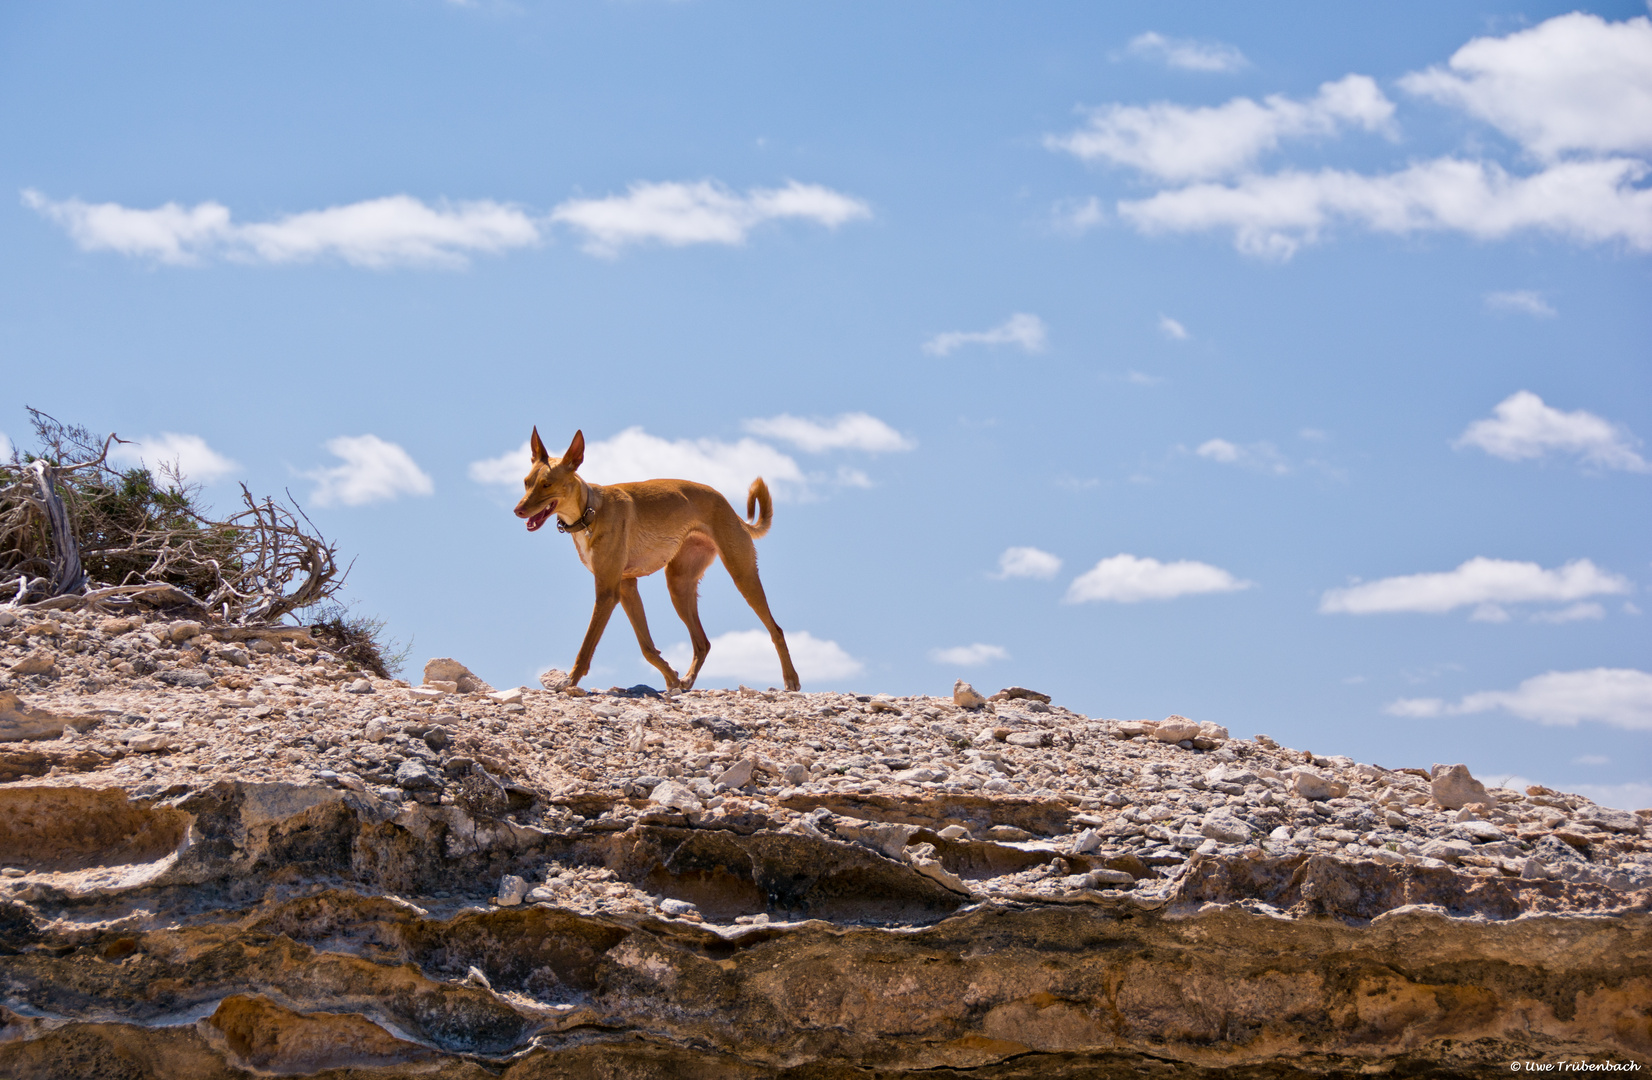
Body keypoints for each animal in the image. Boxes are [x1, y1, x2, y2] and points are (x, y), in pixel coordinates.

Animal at [515, 426, 799, 696]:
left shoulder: (607, 592)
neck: (590, 511)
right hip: (679, 585)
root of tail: (729, 507)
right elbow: (647, 646)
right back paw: (687, 680)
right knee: (702, 643)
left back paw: (791, 680)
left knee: (776, 630)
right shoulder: (626, 587)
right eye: (527, 482)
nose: (518, 510)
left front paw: (570, 681)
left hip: (743, 575)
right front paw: (672, 678)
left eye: (547, 484)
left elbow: (587, 646)